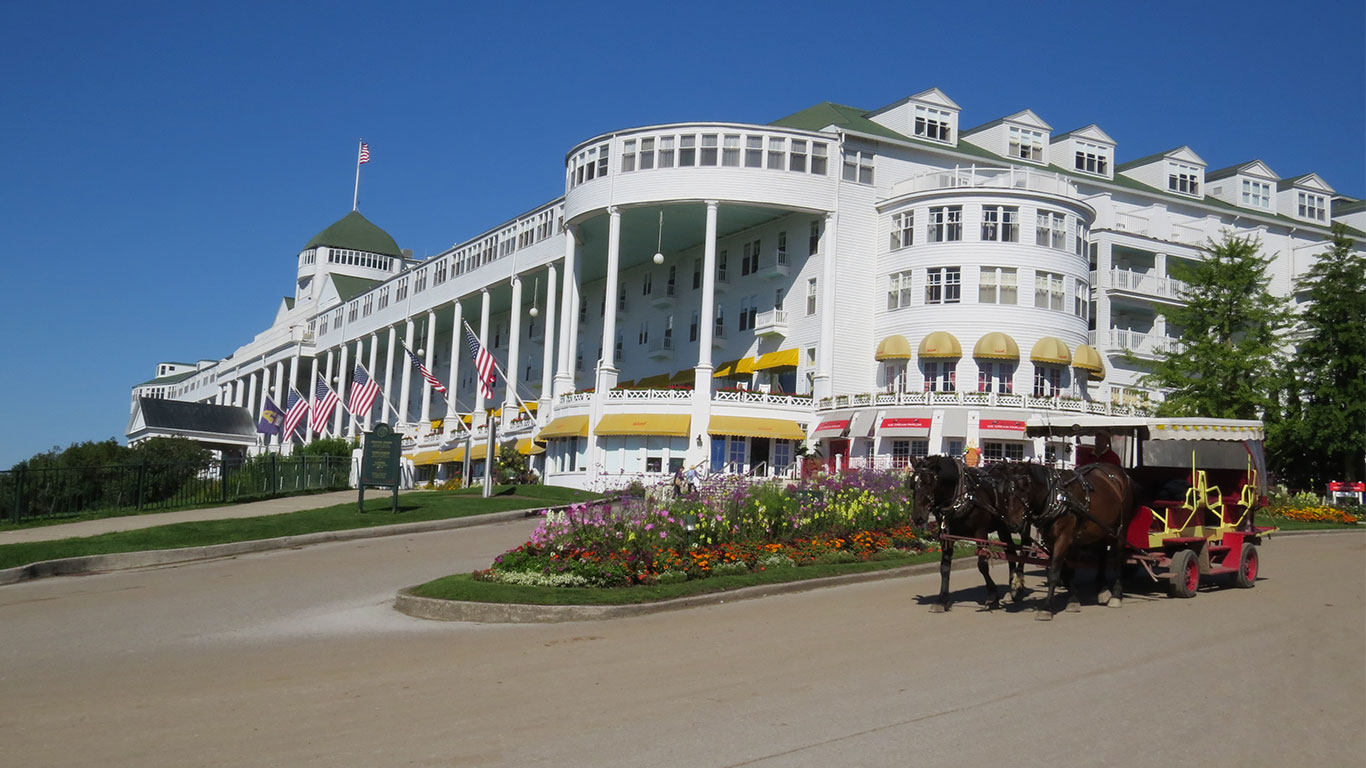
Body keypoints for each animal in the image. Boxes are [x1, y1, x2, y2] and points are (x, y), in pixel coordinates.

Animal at [912, 453, 1027, 609]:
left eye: (928, 483)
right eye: (911, 484)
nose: (917, 517)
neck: (962, 496)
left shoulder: (981, 534)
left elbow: (982, 565)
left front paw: (992, 595)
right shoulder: (946, 536)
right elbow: (944, 567)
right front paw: (942, 599)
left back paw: (1018, 585)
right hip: (1003, 526)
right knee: (1011, 552)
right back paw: (1012, 585)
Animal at [999, 459, 1136, 614]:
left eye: (1025, 488)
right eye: (1004, 490)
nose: (1012, 524)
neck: (1057, 497)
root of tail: (1121, 473)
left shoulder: (1063, 537)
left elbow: (1054, 572)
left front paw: (1046, 608)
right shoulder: (1051, 540)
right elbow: (1065, 571)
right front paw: (1073, 600)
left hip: (1120, 528)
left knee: (1118, 558)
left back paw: (1116, 595)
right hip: (1100, 528)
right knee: (1101, 553)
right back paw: (1102, 588)